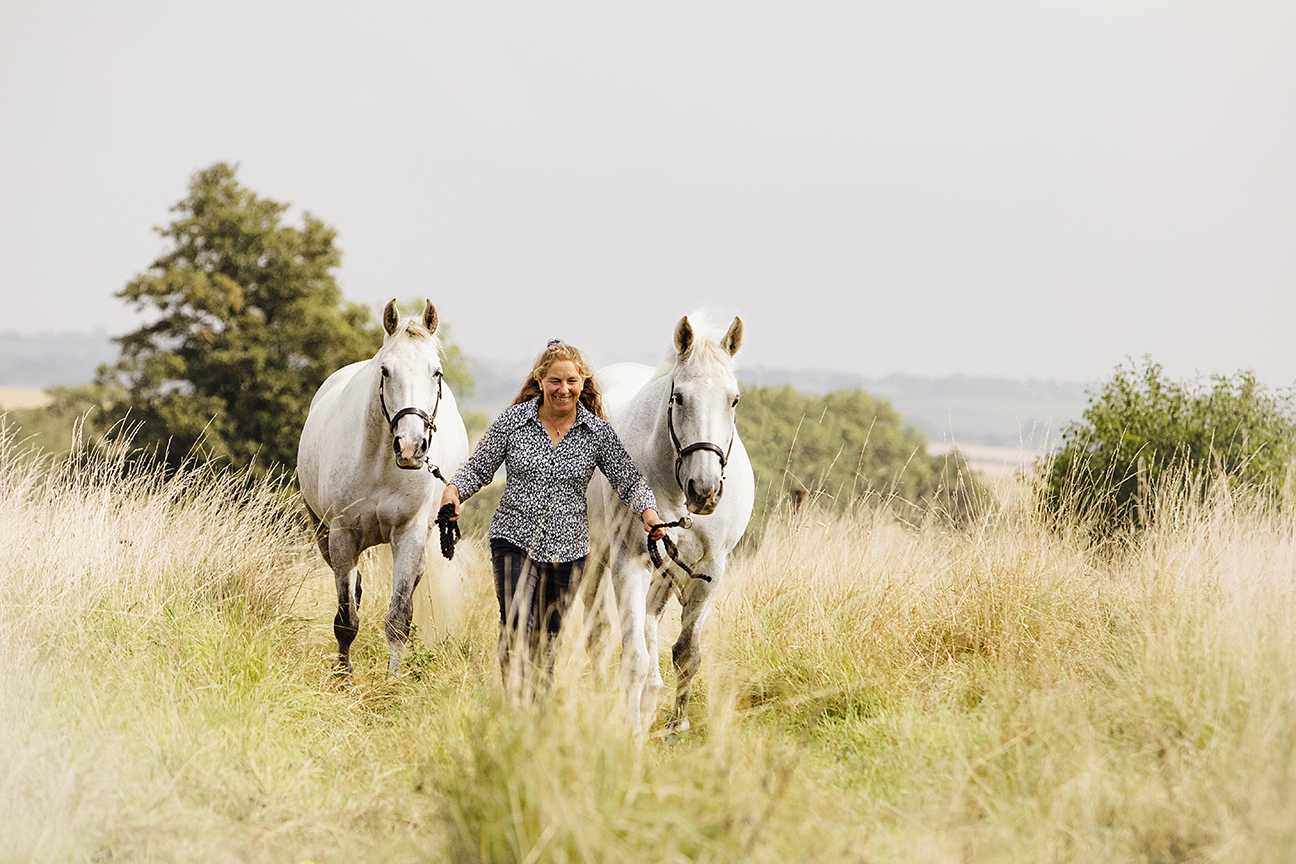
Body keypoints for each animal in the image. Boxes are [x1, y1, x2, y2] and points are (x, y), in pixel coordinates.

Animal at [297, 299, 469, 676]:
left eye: (436, 372)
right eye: (386, 371)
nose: (411, 447)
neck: (380, 464)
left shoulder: (410, 535)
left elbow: (398, 618)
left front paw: (392, 680)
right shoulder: (342, 535)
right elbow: (346, 620)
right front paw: (343, 678)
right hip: (323, 534)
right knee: (352, 589)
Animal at [584, 313, 754, 733]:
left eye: (733, 399)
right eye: (679, 398)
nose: (704, 490)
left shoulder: (709, 571)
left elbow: (687, 652)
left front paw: (677, 725)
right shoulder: (629, 563)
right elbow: (633, 657)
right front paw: (629, 730)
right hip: (595, 561)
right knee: (599, 635)